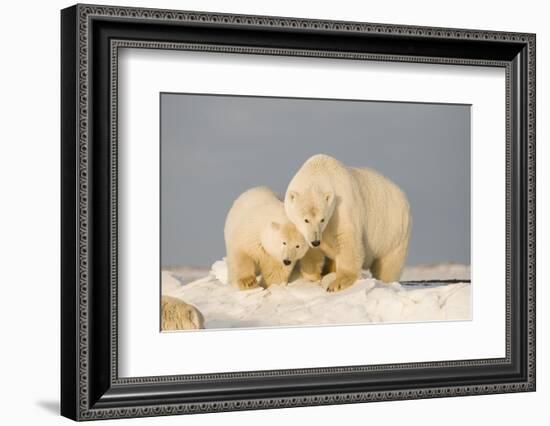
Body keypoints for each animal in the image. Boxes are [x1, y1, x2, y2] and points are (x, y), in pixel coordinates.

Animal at [286, 154, 412, 292]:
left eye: (323, 219)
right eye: (306, 219)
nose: (316, 241)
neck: (318, 172)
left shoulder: (341, 209)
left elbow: (347, 240)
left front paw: (338, 283)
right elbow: (310, 251)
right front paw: (313, 277)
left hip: (393, 231)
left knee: (389, 264)